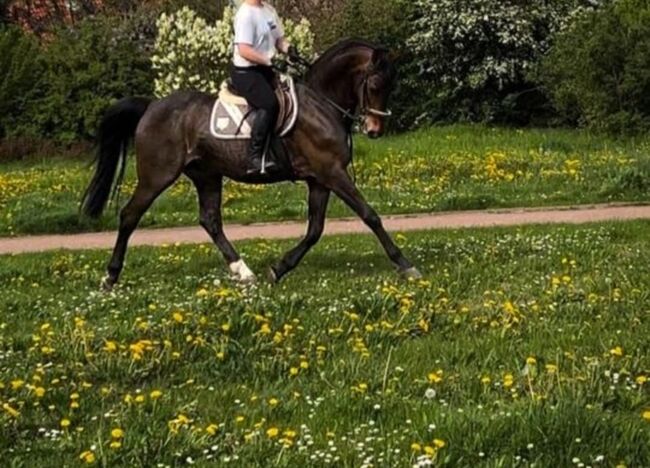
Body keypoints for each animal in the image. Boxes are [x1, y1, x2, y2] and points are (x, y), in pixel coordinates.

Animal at [79, 40, 420, 290]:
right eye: (375, 84)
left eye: (391, 84)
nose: (375, 130)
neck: (322, 104)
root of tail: (151, 107)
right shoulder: (332, 173)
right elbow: (369, 215)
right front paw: (405, 265)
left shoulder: (320, 179)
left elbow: (315, 230)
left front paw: (278, 269)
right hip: (157, 176)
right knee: (129, 215)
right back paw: (110, 276)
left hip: (207, 175)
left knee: (210, 221)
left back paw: (243, 271)